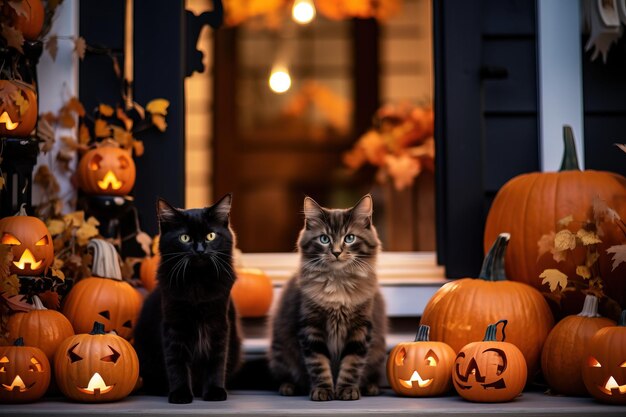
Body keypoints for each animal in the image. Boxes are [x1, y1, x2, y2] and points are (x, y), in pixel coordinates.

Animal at [134, 193, 241, 402]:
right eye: (185, 238)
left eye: (210, 236)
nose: (199, 250)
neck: (196, 281)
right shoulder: (173, 325)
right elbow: (176, 362)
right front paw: (180, 393)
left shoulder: (219, 323)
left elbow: (216, 360)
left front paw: (214, 391)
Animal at [268, 195, 386, 400]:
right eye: (324, 239)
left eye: (349, 238)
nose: (337, 252)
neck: (338, 283)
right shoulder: (311, 326)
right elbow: (318, 364)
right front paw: (323, 390)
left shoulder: (361, 328)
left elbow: (352, 364)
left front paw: (347, 389)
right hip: (281, 353)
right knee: (286, 376)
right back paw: (289, 387)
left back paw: (370, 387)